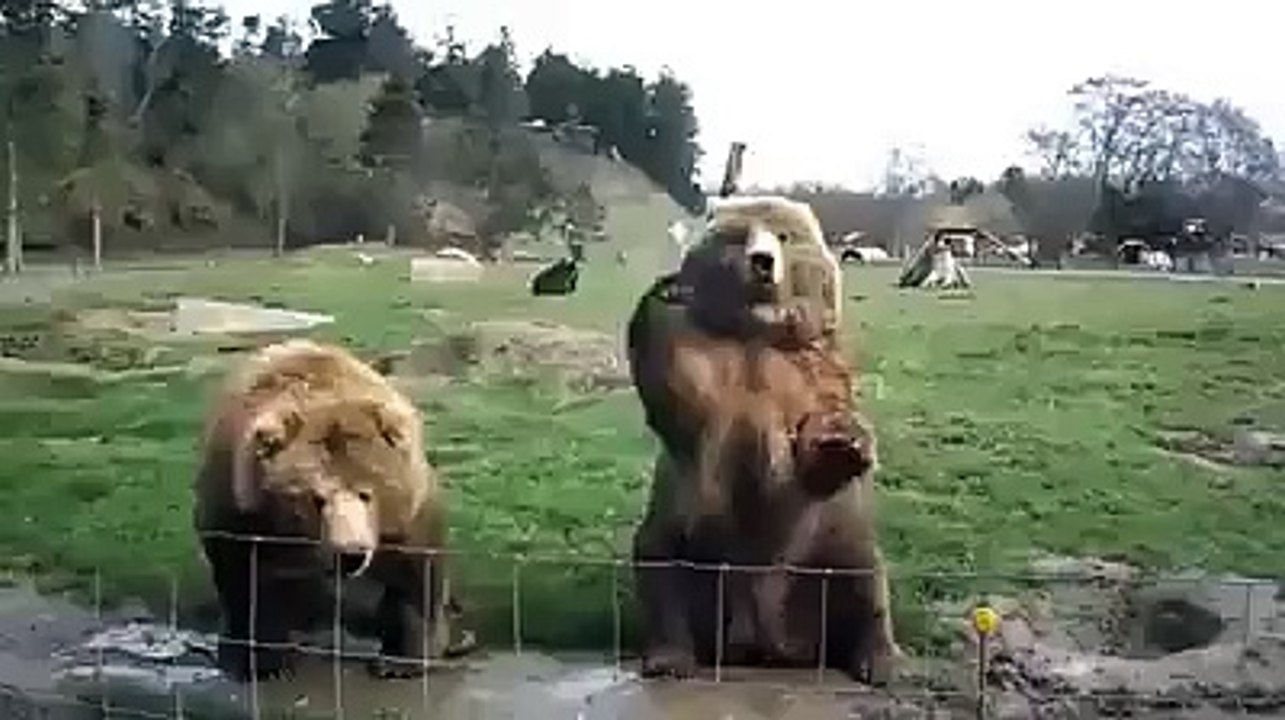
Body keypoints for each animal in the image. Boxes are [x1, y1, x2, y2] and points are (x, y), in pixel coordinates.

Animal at [193, 338, 452, 681]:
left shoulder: (406, 510)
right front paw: (262, 661)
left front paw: (401, 659)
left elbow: (416, 573)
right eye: (316, 498)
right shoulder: (242, 510)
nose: (350, 554)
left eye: (366, 493)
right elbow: (245, 582)